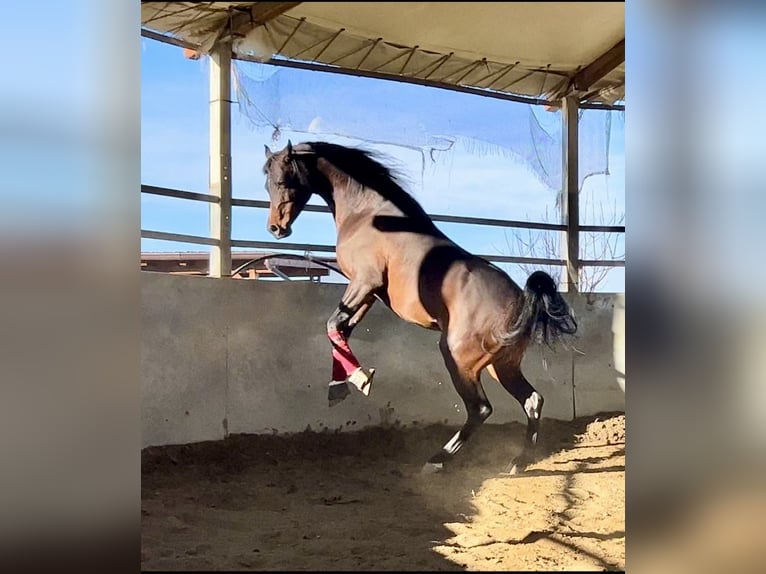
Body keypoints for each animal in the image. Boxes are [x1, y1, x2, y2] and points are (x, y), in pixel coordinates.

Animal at [262, 140, 576, 472]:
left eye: (282, 180)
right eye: (267, 183)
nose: (276, 228)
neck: (370, 214)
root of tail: (522, 304)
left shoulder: (364, 281)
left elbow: (333, 324)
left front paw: (358, 379)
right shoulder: (370, 293)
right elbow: (341, 330)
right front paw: (341, 384)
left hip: (459, 359)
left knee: (480, 408)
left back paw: (437, 461)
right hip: (501, 365)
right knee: (532, 400)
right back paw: (519, 461)